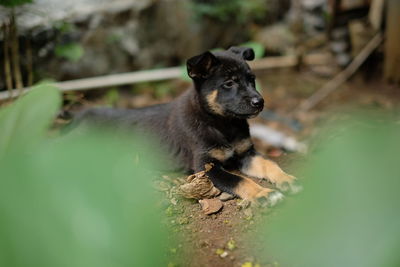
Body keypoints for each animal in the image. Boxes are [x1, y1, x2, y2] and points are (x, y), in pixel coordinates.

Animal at [76, 47, 296, 203]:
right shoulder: (206, 168)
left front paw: (286, 179)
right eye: (229, 83)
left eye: (252, 80)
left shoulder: (246, 153)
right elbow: (239, 179)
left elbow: (269, 164)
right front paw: (263, 194)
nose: (260, 102)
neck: (222, 123)